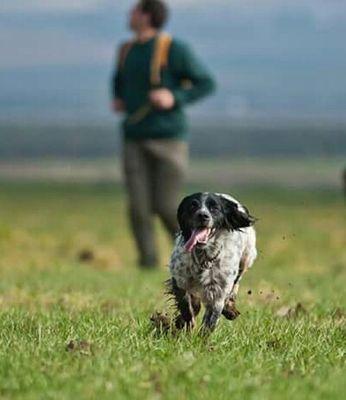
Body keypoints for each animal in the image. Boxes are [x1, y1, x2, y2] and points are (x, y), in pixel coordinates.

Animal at [168, 192, 256, 332]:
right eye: (193, 205)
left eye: (214, 208)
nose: (202, 215)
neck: (203, 257)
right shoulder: (180, 280)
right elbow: (186, 305)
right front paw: (185, 323)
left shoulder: (218, 292)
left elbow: (210, 321)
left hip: (246, 259)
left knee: (236, 284)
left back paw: (229, 309)